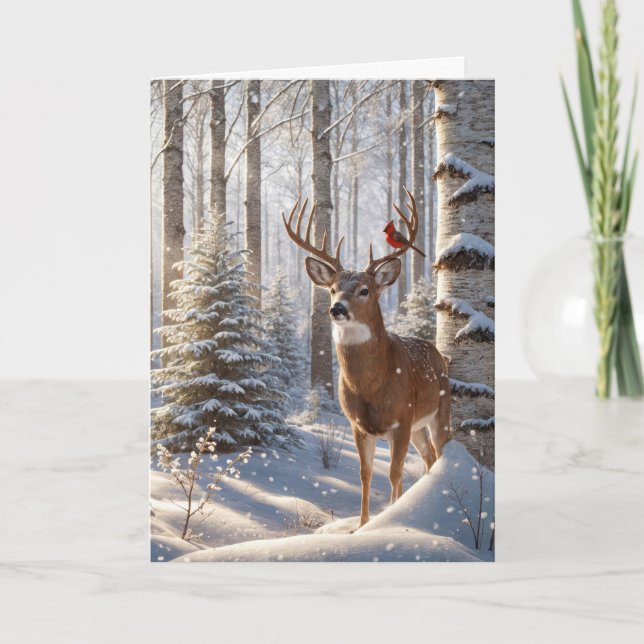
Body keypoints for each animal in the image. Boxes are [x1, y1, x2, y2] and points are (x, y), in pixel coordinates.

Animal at [282, 189, 451, 527]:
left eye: (364, 290)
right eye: (332, 289)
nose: (336, 308)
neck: (372, 386)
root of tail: (439, 355)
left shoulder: (401, 419)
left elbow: (395, 473)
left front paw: (389, 519)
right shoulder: (358, 425)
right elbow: (365, 474)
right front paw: (361, 526)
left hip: (441, 411)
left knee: (439, 454)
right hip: (418, 427)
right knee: (428, 457)